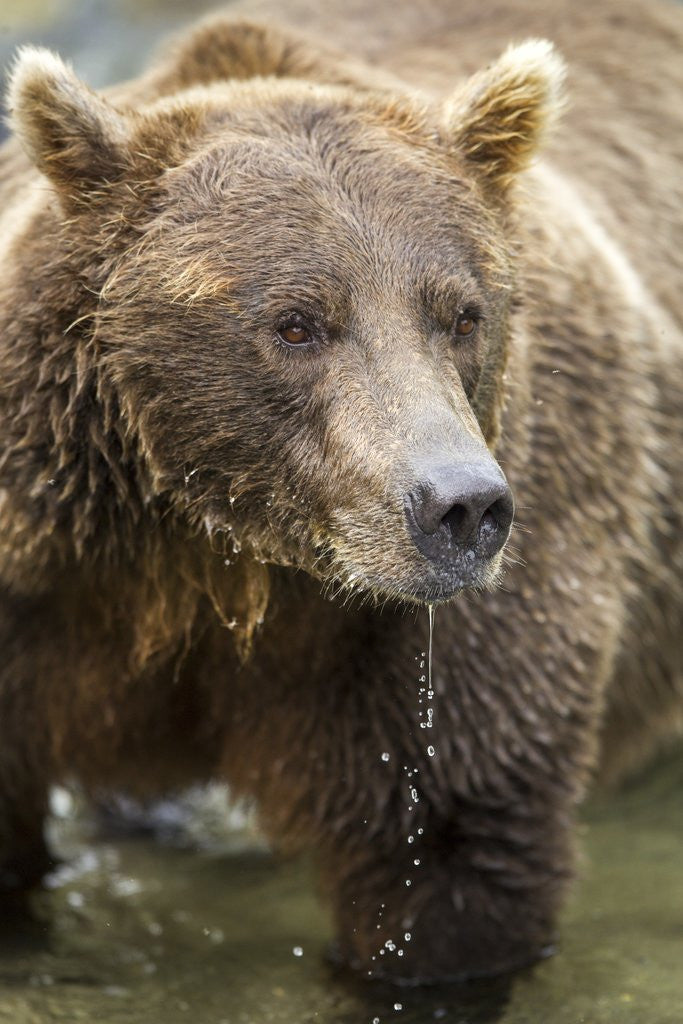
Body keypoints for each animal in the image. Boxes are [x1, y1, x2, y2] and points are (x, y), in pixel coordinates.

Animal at [0, 0, 681, 984]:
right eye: (295, 323)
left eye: (462, 314)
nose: (460, 507)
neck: (212, 553)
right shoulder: (37, 576)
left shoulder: (438, 633)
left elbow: (448, 851)